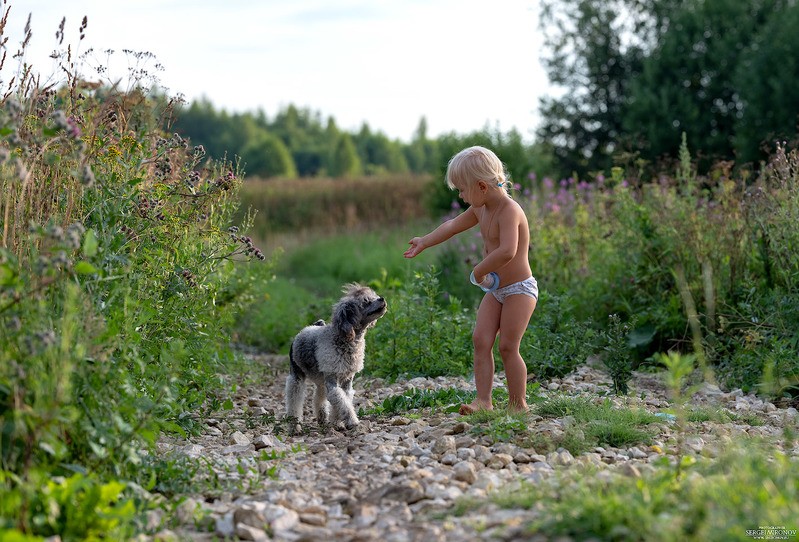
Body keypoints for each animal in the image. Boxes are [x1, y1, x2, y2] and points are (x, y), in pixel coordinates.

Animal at [286, 284, 390, 430]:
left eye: (374, 296)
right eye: (365, 301)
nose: (382, 298)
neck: (345, 340)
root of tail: (309, 327)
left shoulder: (347, 379)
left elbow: (342, 401)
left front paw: (337, 422)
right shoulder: (332, 378)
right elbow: (341, 401)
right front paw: (352, 421)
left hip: (321, 379)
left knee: (319, 397)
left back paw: (322, 418)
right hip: (296, 376)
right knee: (294, 399)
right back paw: (294, 426)